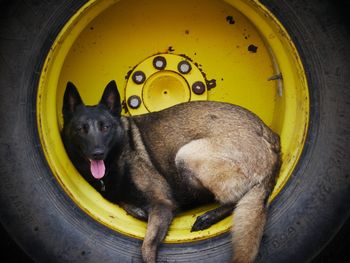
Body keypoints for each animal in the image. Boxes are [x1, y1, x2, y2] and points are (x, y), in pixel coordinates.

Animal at [62, 81, 282, 263]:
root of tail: (269, 134)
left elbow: (147, 247)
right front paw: (136, 208)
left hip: (186, 154)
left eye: (105, 127)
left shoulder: (163, 204)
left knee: (235, 198)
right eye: (81, 129)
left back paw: (207, 216)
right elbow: (127, 204)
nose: (97, 153)